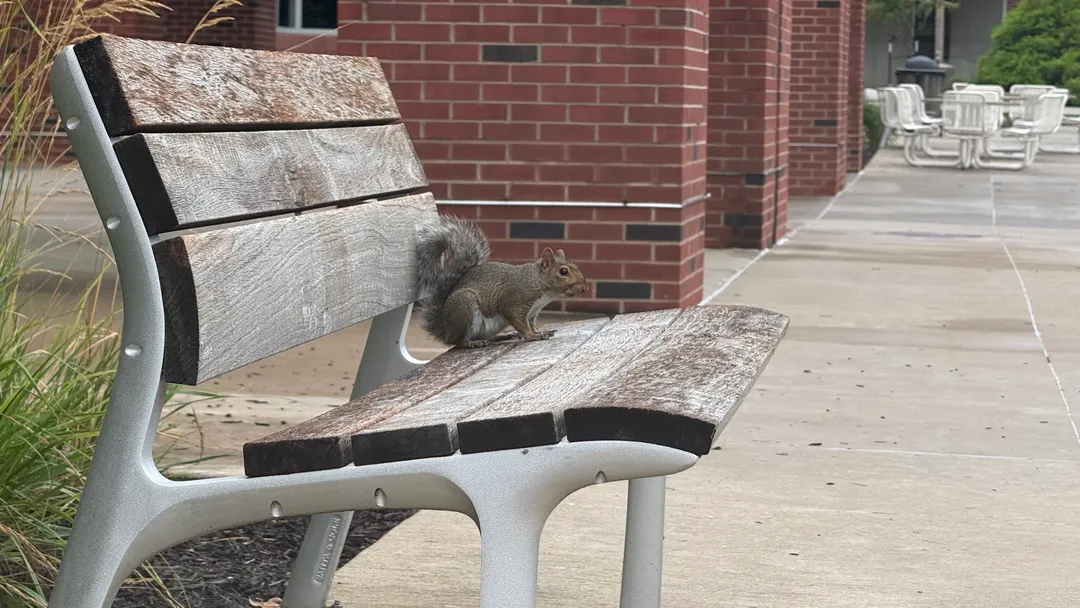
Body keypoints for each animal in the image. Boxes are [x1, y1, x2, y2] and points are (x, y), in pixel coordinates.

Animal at [414, 215, 590, 349]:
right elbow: (520, 322)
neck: (537, 281)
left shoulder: (533, 312)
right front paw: (531, 336)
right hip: (464, 308)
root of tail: (444, 329)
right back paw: (472, 343)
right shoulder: (515, 303)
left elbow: (531, 324)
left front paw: (539, 332)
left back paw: (502, 337)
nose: (584, 287)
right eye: (563, 271)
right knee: (459, 341)